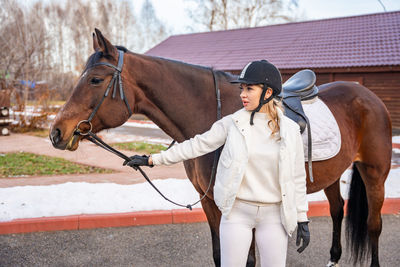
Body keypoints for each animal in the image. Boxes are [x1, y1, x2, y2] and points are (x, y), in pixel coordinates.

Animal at [49, 29, 390, 267]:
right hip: (333, 174)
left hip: (375, 173)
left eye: (95, 79)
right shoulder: (212, 204)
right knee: (337, 210)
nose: (56, 132)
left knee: (374, 226)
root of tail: (369, 97)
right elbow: (219, 255)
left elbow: (248, 259)